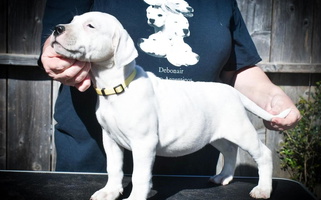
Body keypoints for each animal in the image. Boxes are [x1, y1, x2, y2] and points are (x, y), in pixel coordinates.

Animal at [50, 11, 290, 200]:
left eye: (90, 26)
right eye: (72, 20)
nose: (57, 28)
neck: (117, 87)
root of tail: (232, 91)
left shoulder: (144, 143)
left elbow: (140, 175)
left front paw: (135, 197)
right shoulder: (110, 139)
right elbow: (114, 168)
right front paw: (110, 192)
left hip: (241, 130)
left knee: (263, 154)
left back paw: (263, 189)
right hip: (217, 134)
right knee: (230, 150)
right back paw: (224, 177)